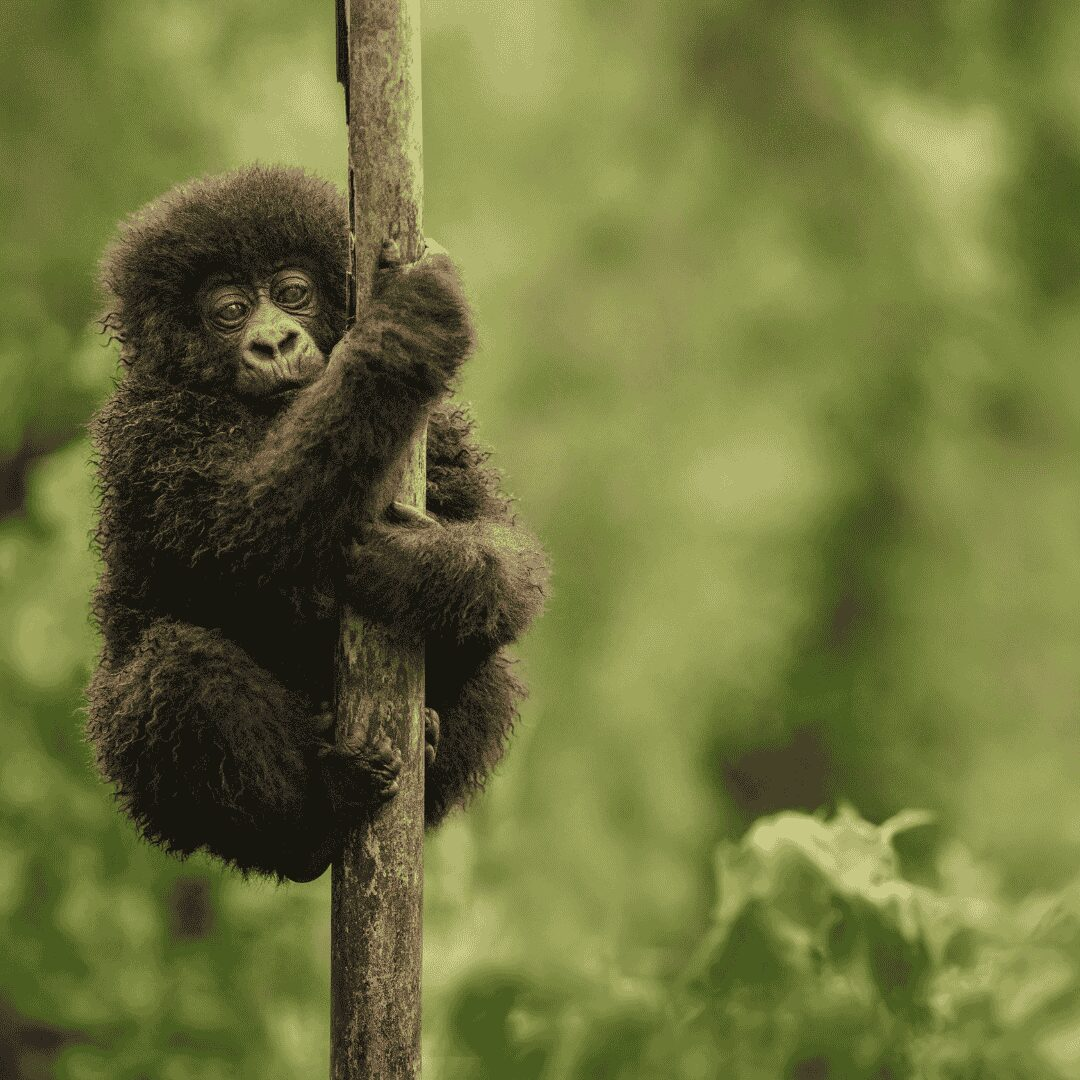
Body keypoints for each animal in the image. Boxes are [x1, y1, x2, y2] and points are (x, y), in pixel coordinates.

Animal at [85, 165, 549, 882]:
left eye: (293, 293)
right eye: (229, 311)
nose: (274, 340)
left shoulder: (439, 430)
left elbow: (503, 547)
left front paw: (422, 571)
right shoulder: (148, 431)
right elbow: (243, 528)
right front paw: (403, 334)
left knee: (495, 664)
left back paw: (427, 738)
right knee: (176, 669)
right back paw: (314, 816)